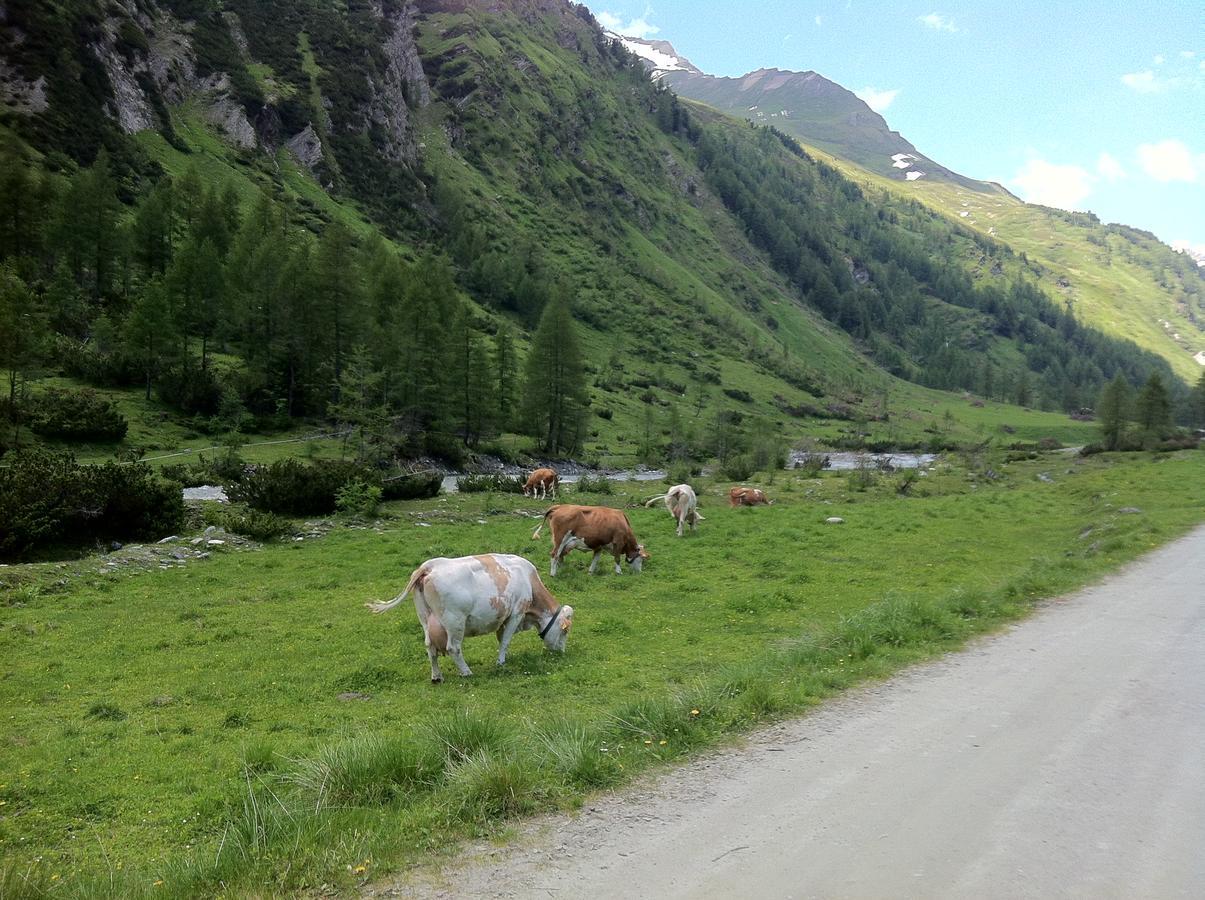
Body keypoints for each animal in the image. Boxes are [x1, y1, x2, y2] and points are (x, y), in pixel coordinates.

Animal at [363, 551, 571, 684]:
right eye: (565, 632)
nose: (562, 652)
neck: (529, 580)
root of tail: (430, 566)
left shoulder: (502, 618)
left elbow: (501, 639)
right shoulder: (516, 614)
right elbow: (505, 641)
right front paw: (501, 662)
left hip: (425, 619)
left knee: (430, 647)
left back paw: (437, 676)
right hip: (454, 621)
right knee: (453, 648)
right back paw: (466, 672)